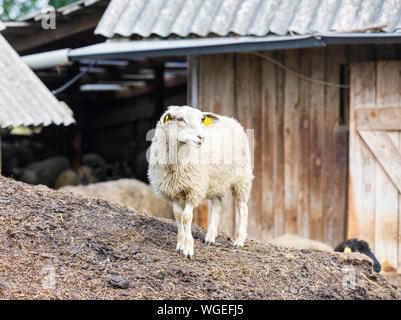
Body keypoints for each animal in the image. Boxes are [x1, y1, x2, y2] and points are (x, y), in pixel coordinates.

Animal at [147, 106, 253, 258]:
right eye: (180, 119)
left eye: (202, 119)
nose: (201, 137)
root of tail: (230, 118)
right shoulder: (174, 190)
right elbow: (178, 216)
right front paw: (180, 245)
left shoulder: (194, 189)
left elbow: (186, 217)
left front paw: (188, 249)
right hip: (214, 181)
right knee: (217, 204)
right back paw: (210, 237)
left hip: (242, 177)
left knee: (242, 207)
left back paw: (239, 240)